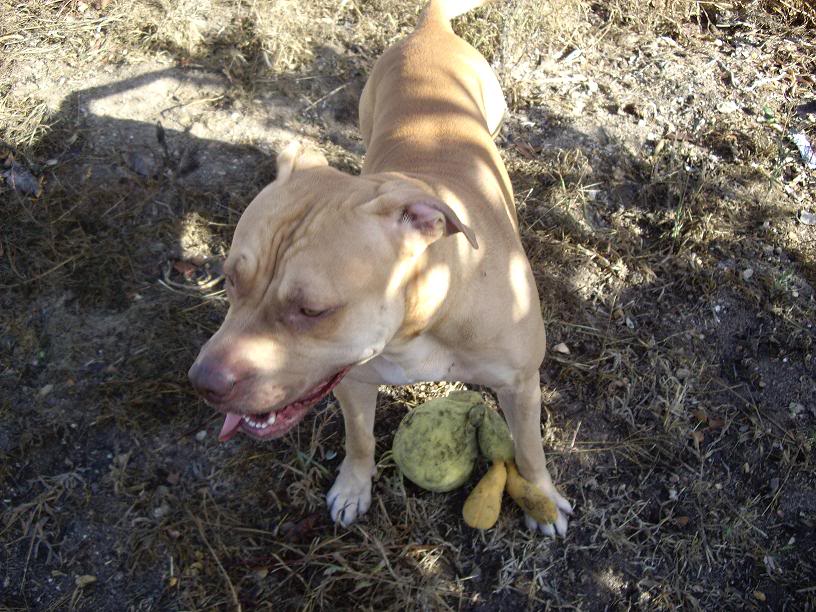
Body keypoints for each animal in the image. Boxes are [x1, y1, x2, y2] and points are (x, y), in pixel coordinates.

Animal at [190, 0, 572, 536]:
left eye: (312, 310)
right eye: (230, 279)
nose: (203, 383)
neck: (422, 317)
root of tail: (431, 27)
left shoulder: (521, 385)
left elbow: (532, 449)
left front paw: (542, 498)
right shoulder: (352, 382)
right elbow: (359, 439)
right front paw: (354, 486)